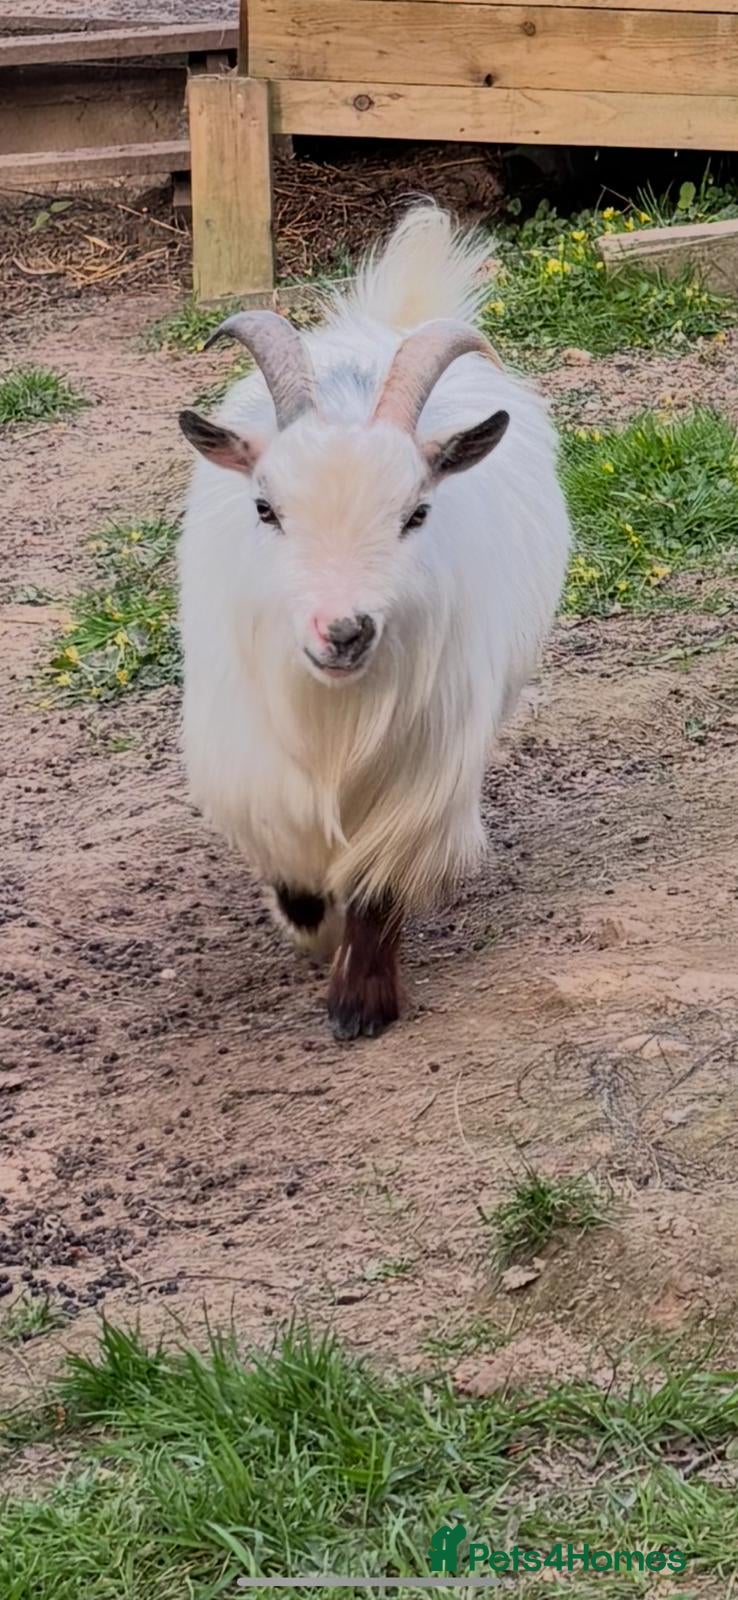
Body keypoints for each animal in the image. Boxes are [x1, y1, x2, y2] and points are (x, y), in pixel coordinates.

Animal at [178, 205, 570, 1039]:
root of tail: (385, 323)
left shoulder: (424, 767)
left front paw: (361, 1002)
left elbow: (379, 883)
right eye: (265, 507)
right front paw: (313, 933)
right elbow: (294, 870)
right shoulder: (250, 762)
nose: (344, 630)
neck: (336, 717)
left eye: (416, 513)